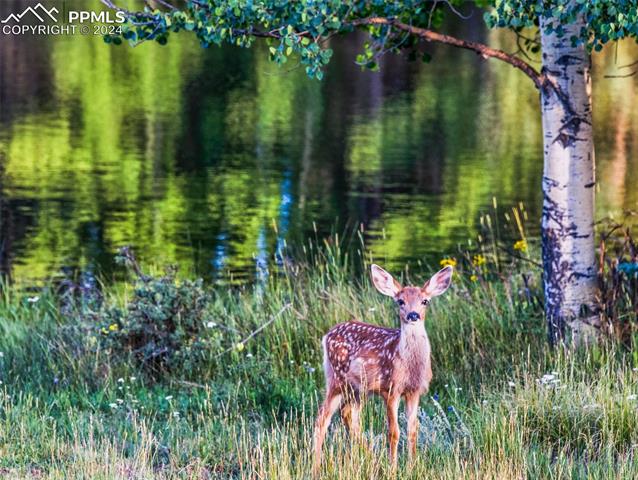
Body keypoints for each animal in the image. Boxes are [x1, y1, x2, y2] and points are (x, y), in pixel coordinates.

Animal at [314, 264, 456, 474]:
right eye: (400, 301)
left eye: (425, 301)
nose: (413, 315)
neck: (408, 365)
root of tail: (326, 336)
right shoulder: (390, 388)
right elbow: (393, 431)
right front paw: (393, 468)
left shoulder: (414, 391)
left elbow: (412, 429)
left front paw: (412, 466)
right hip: (337, 379)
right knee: (322, 418)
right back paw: (315, 466)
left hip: (358, 389)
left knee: (348, 414)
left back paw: (371, 457)